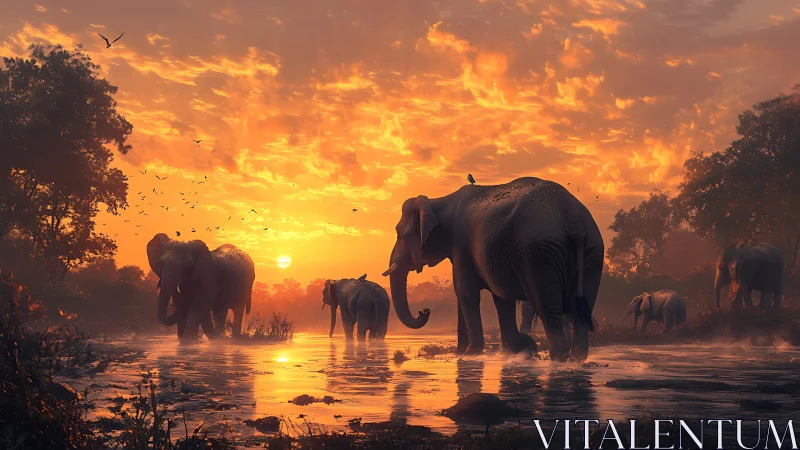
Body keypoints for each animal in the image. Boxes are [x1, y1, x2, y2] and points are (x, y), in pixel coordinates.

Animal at [381, 177, 604, 360]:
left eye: (399, 235)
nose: (424, 310)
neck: (438, 201)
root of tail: (572, 218)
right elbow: (500, 297)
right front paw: (516, 349)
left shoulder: (461, 245)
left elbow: (465, 292)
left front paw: (470, 354)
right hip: (591, 251)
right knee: (581, 306)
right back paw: (577, 358)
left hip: (539, 253)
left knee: (546, 307)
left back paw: (558, 358)